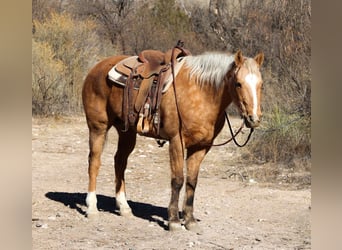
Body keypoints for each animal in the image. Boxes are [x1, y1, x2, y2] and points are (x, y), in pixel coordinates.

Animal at [81, 47, 264, 231]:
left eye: (261, 84)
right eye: (238, 83)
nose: (253, 119)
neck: (201, 92)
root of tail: (96, 68)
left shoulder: (201, 147)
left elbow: (191, 182)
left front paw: (190, 220)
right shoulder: (177, 141)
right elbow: (177, 180)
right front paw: (174, 220)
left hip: (126, 131)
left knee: (120, 162)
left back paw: (124, 207)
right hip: (98, 127)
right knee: (94, 162)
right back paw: (92, 207)